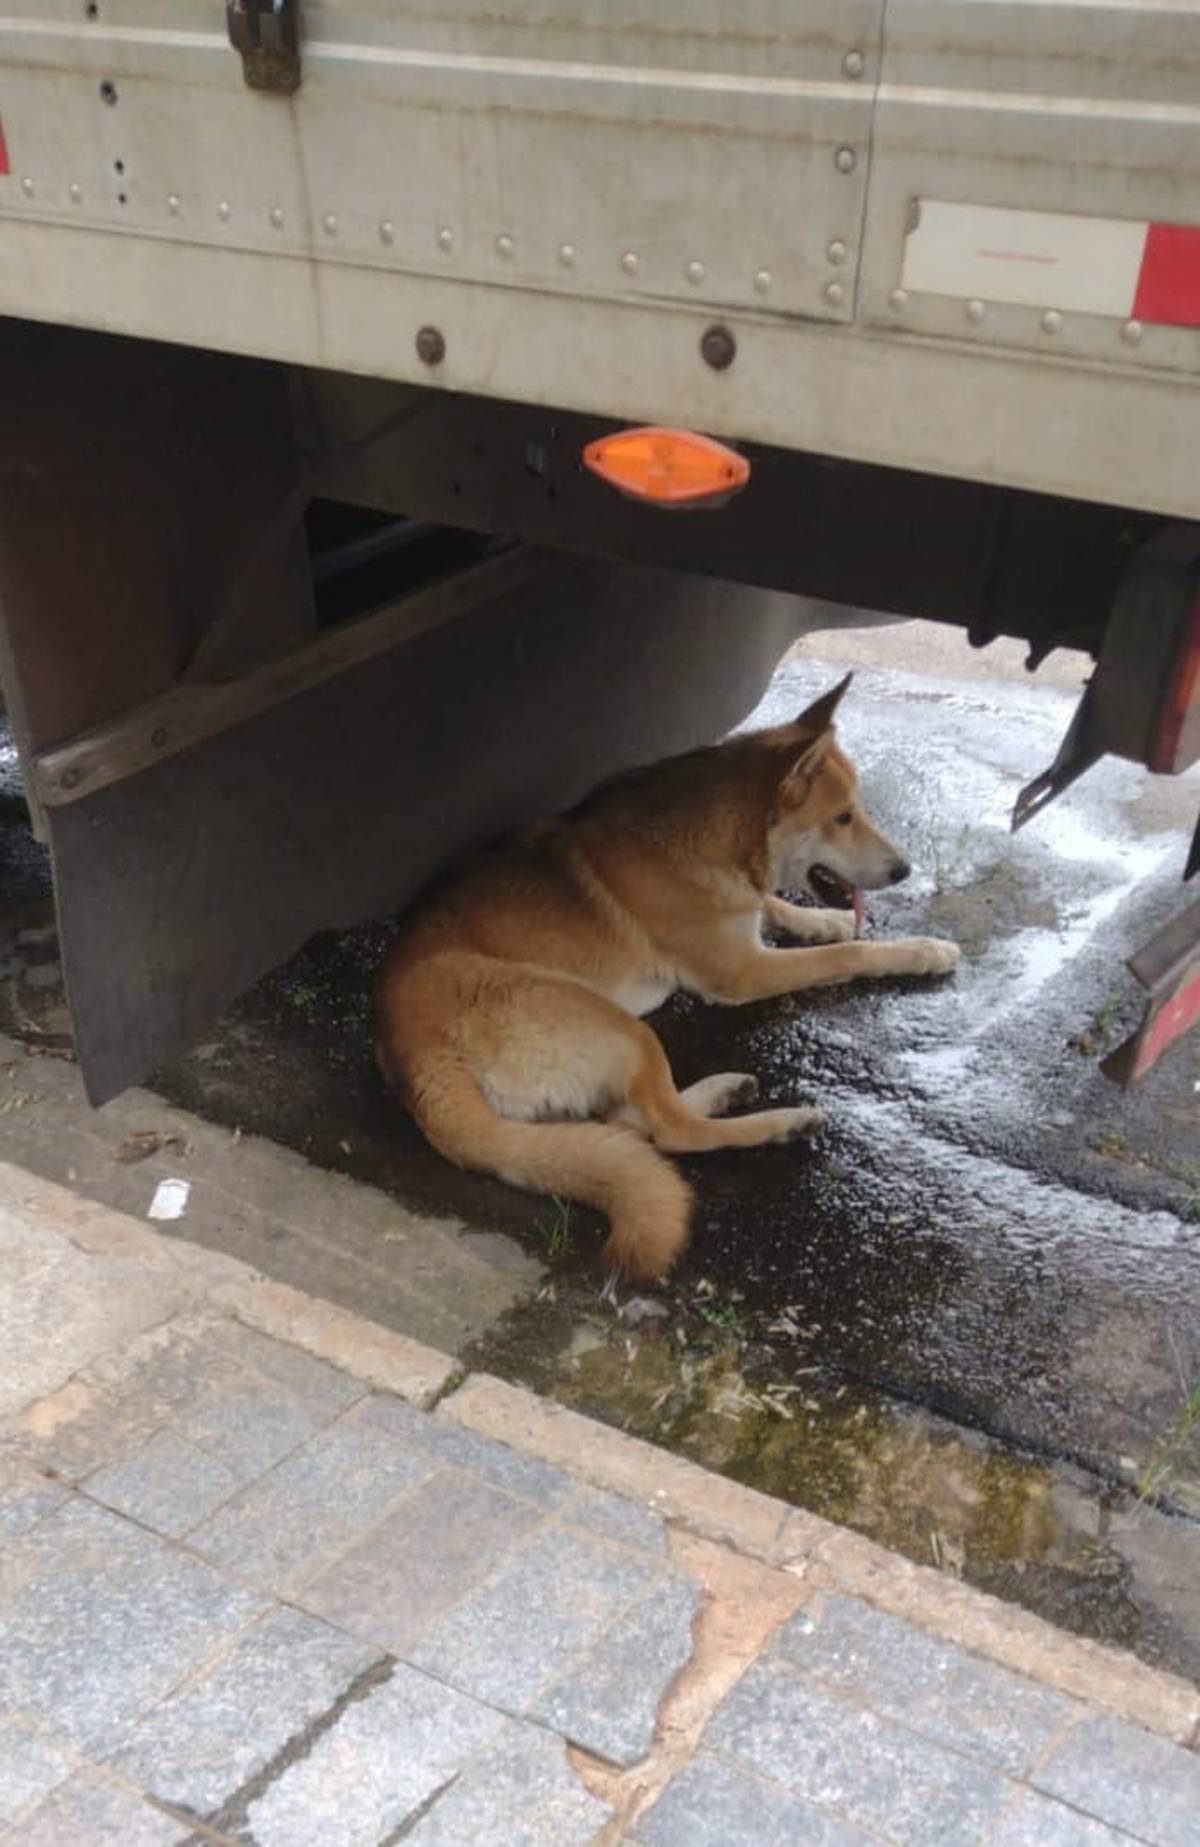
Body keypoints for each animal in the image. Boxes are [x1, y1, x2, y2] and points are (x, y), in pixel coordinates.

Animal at [376, 674, 959, 1280]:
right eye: (843, 817)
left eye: (857, 811)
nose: (904, 871)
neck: (723, 835)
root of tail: (415, 1060)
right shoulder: (743, 971)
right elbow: (842, 957)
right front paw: (918, 950)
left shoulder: (743, 921)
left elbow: (776, 906)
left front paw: (828, 920)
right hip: (618, 1025)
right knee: (671, 1130)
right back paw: (780, 1122)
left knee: (628, 1124)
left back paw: (722, 1091)